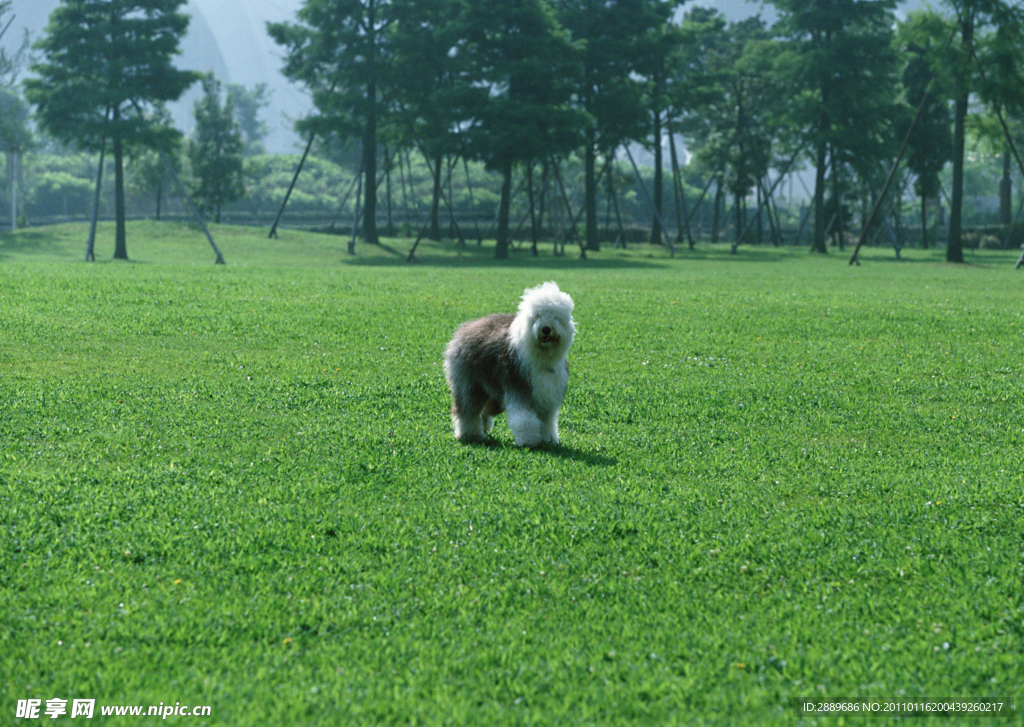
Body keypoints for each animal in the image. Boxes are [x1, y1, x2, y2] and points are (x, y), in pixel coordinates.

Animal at [444, 282, 577, 446]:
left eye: (555, 316)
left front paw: (549, 440)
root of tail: (463, 329)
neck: (541, 357)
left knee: (484, 410)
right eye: (537, 316)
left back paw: (483, 427)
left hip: (493, 394)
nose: (546, 329)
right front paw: (528, 441)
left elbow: (548, 421)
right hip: (470, 385)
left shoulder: (548, 395)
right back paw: (470, 434)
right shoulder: (519, 387)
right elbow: (524, 418)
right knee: (467, 410)